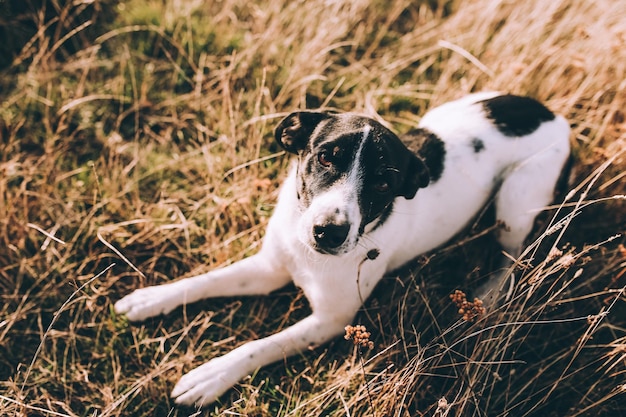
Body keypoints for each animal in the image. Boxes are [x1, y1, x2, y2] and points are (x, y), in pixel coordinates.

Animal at [113, 90, 572, 404]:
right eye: (324, 157)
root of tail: (556, 117)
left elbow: (260, 346)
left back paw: (489, 293)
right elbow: (206, 280)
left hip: (514, 205)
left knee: (514, 254)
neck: (307, 255)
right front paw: (151, 298)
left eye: (384, 183)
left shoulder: (331, 320)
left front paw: (210, 376)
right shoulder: (268, 269)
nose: (328, 233)